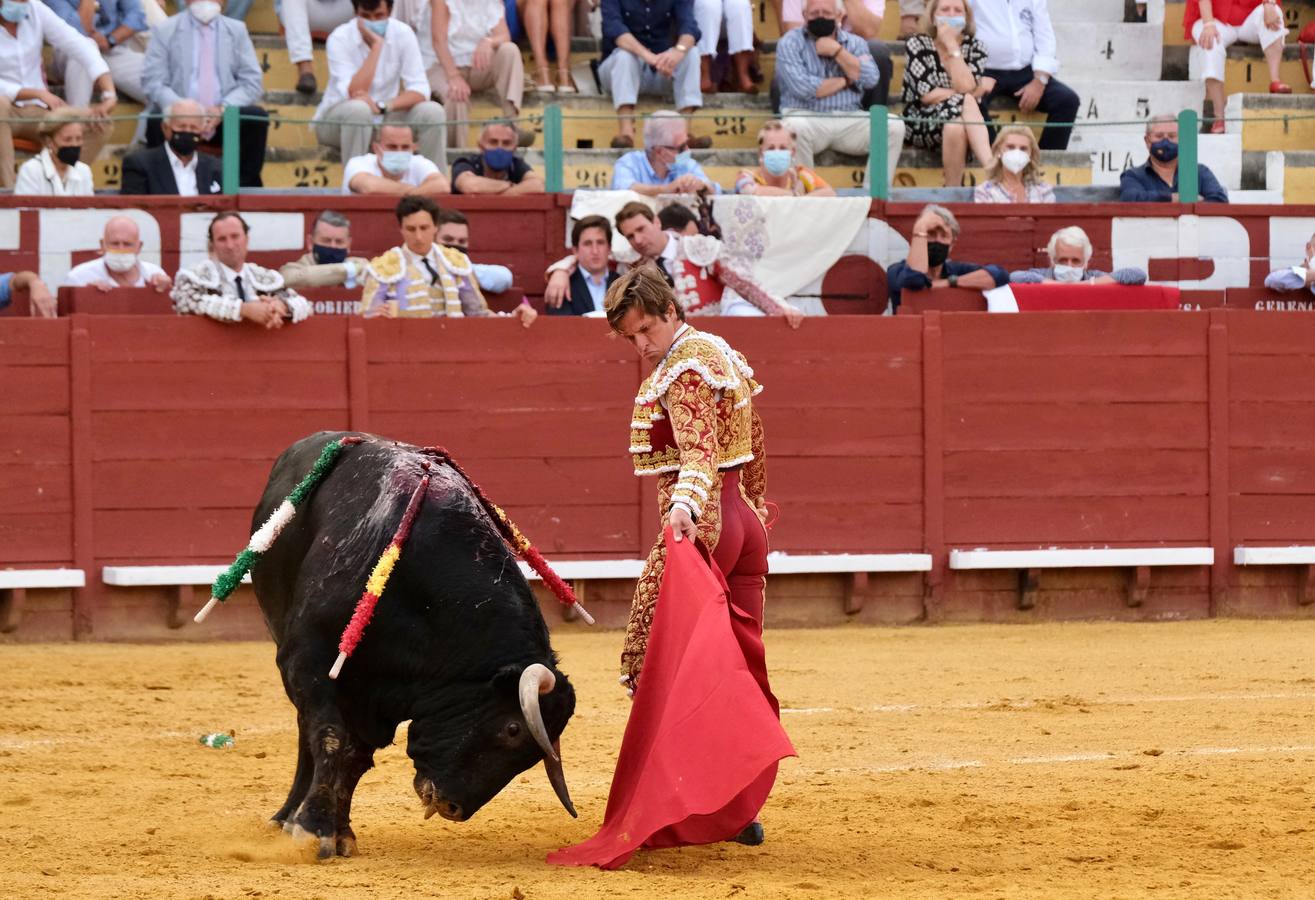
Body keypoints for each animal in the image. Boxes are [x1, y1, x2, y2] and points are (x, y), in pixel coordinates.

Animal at [249, 431, 575, 857]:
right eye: (512, 730)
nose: (453, 807)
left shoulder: (371, 697)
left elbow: (356, 758)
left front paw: (341, 833)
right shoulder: (308, 664)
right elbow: (332, 739)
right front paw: (314, 830)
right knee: (309, 731)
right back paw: (287, 817)